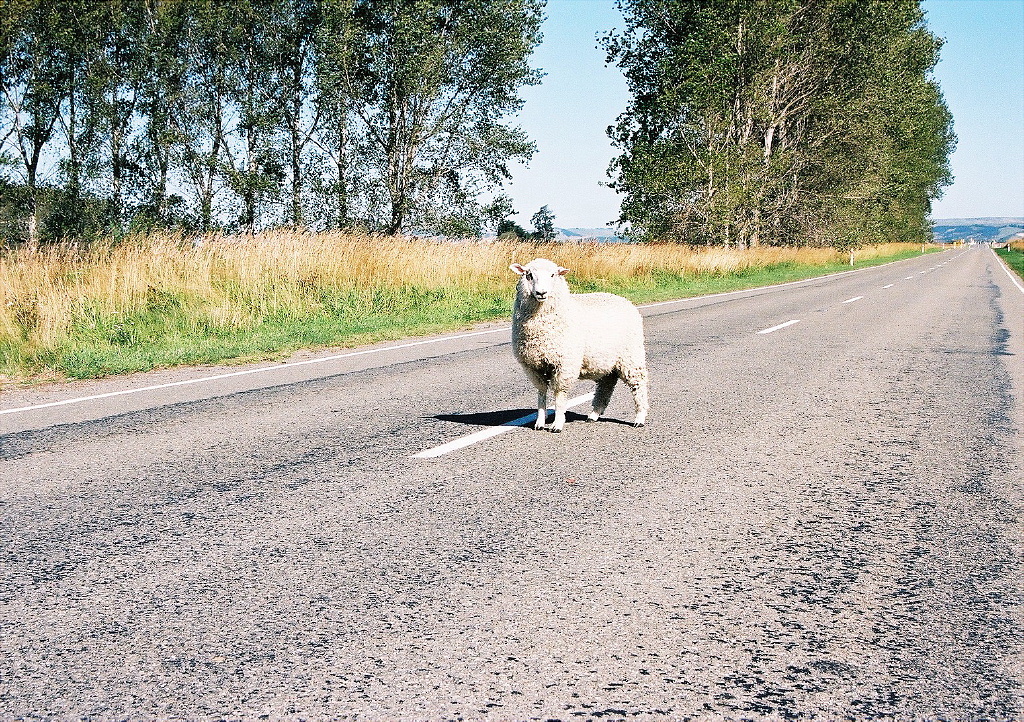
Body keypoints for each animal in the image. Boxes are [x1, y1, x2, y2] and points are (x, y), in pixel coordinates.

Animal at [509, 256, 647, 430]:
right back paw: (594, 415)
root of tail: (624, 299)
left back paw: (640, 417)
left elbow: (559, 396)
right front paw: (540, 422)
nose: (541, 293)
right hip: (608, 362)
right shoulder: (534, 366)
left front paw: (557, 424)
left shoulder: (565, 364)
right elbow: (541, 393)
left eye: (553, 275)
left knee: (639, 384)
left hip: (631, 356)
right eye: (529, 275)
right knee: (606, 385)